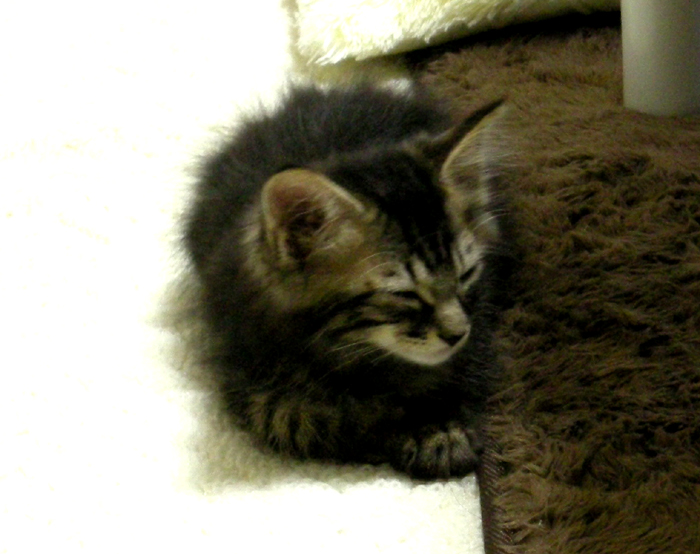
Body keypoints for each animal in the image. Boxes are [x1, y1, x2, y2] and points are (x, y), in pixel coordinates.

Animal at [183, 83, 515, 479]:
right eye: (404, 294)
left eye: (466, 275)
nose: (456, 333)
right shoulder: (249, 376)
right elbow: (311, 420)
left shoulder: (481, 316)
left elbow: (467, 370)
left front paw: (442, 427)